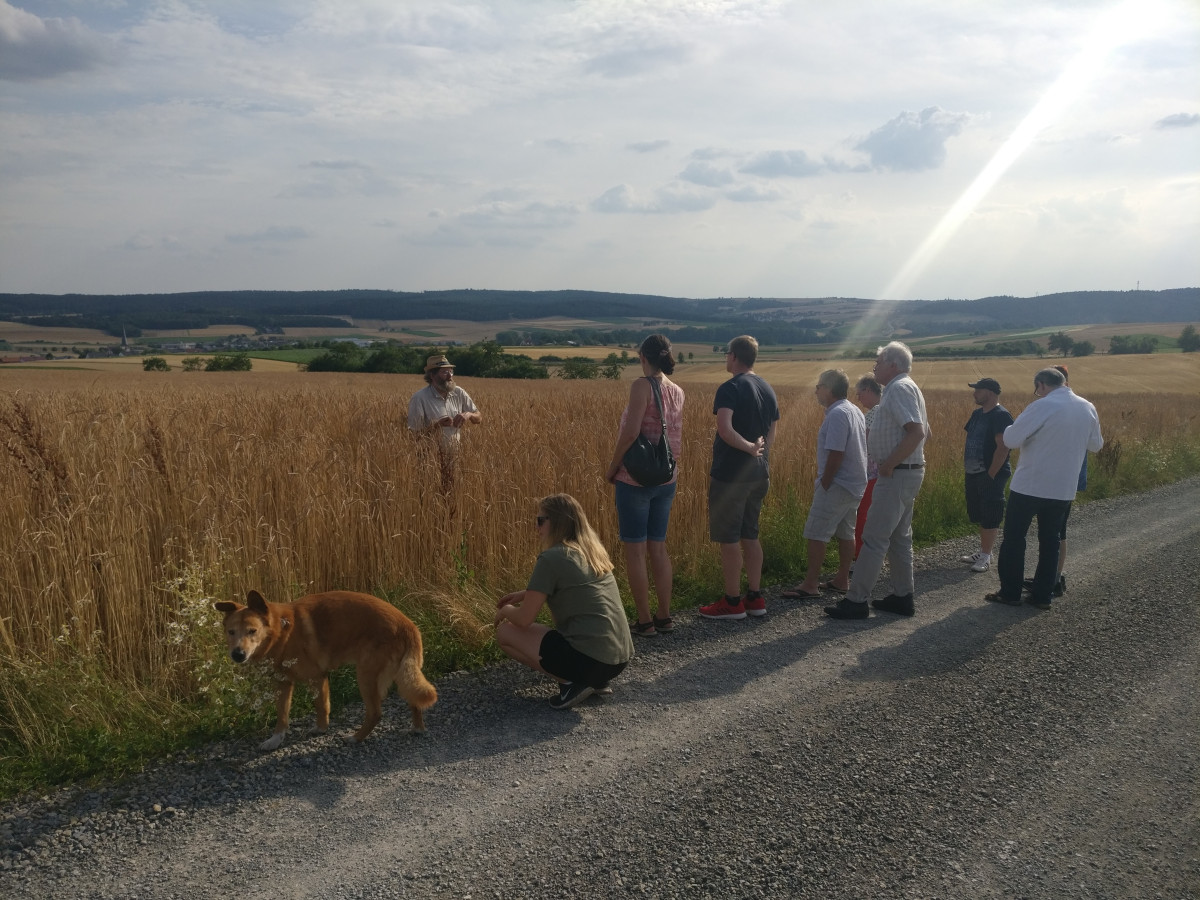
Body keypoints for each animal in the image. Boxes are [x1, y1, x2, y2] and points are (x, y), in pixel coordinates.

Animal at [216, 588, 436, 748]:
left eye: (252, 631)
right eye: (231, 632)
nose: (237, 654)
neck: (283, 631)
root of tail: (408, 625)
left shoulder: (316, 677)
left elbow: (321, 706)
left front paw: (321, 729)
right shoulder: (283, 684)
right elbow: (282, 715)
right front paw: (275, 740)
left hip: (366, 675)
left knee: (376, 713)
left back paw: (355, 738)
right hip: (400, 673)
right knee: (413, 701)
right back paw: (418, 728)